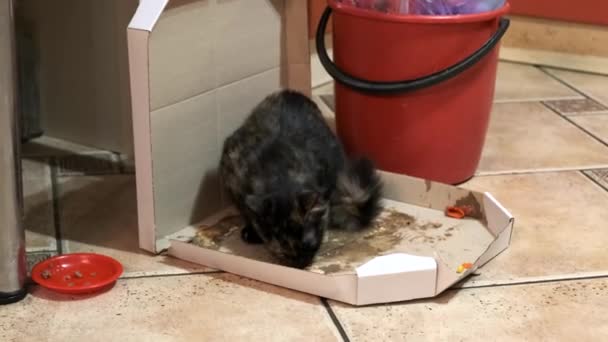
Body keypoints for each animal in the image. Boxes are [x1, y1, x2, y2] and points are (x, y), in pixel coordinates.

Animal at [218, 89, 380, 268]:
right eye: (283, 251)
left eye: (310, 246)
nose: (302, 264)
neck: (278, 174)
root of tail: (291, 92)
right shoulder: (232, 176)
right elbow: (247, 213)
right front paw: (251, 231)